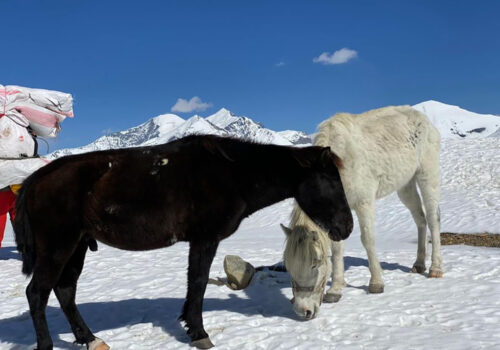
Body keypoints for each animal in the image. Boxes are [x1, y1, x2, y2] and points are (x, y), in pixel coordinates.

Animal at [13, 133, 354, 348]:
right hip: (58, 247)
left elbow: (194, 283)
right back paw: (48, 344)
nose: (347, 227)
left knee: (65, 291)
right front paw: (199, 332)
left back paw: (89, 338)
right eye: (330, 180)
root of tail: (37, 180)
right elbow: (199, 282)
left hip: (77, 246)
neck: (232, 173)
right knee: (37, 293)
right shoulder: (205, 240)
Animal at [284, 105, 444, 318]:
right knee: (420, 219)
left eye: (315, 264)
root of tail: (424, 119)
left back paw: (435, 268)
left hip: (427, 174)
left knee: (433, 219)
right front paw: (335, 289)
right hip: (405, 185)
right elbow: (337, 248)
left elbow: (367, 239)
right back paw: (419, 264)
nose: (304, 311)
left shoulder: (364, 202)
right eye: (288, 267)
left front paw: (376, 283)